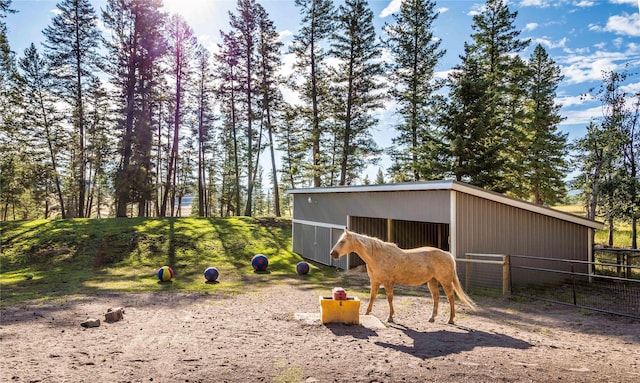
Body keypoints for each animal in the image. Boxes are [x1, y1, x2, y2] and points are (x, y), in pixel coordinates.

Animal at [330, 230, 476, 326]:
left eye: (342, 241)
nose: (333, 254)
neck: (377, 256)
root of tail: (447, 254)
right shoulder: (375, 281)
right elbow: (372, 297)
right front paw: (366, 314)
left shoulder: (388, 283)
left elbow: (389, 299)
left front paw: (390, 318)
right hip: (432, 281)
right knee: (436, 297)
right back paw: (432, 318)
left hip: (445, 282)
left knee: (451, 298)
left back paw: (450, 319)